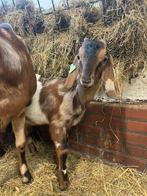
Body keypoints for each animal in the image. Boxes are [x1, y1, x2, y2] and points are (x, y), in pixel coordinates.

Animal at [25, 37, 116, 189]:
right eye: (79, 56)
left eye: (104, 59)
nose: (85, 80)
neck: (72, 95)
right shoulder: (57, 124)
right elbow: (63, 149)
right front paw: (63, 183)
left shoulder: (67, 126)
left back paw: (34, 152)